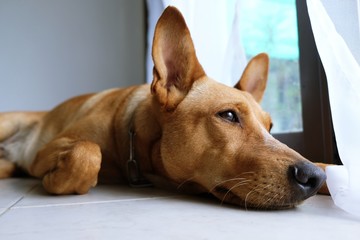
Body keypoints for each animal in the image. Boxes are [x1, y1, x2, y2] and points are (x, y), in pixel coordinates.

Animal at [0, 6, 326, 210]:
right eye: (228, 115)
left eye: (270, 127)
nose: (312, 178)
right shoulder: (48, 149)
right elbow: (86, 153)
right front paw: (56, 180)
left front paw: (327, 172)